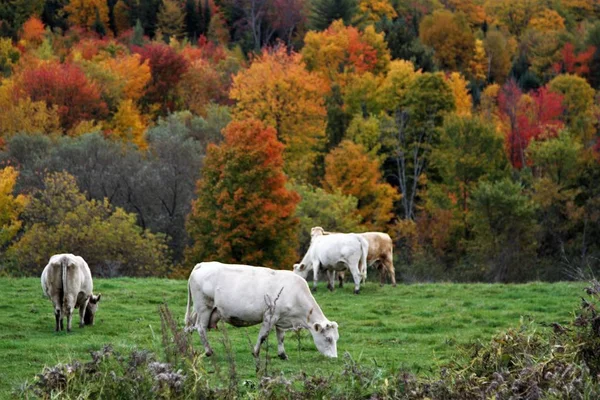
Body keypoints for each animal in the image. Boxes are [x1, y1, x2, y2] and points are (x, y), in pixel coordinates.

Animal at [185, 262, 340, 360]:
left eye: (336, 338)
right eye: (328, 338)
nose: (334, 358)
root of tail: (203, 264)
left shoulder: (281, 318)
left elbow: (280, 337)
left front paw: (282, 355)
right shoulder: (270, 316)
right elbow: (263, 335)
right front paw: (255, 352)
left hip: (198, 310)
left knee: (189, 326)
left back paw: (188, 349)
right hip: (204, 307)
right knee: (200, 328)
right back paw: (208, 351)